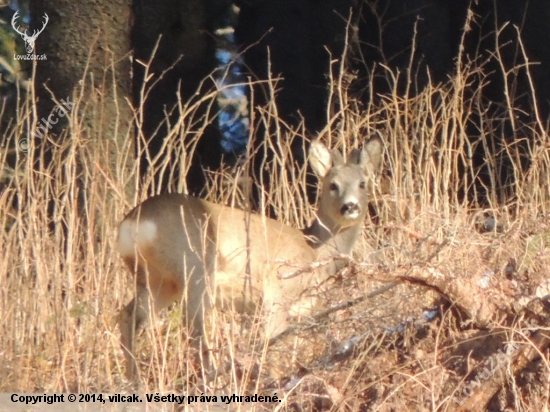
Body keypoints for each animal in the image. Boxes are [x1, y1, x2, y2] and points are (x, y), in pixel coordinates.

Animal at [116, 137, 384, 378]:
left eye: (362, 183)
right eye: (333, 185)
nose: (350, 207)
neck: (315, 249)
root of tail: (135, 223)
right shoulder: (277, 287)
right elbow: (273, 340)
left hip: (158, 281)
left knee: (128, 316)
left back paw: (134, 381)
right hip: (195, 268)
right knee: (193, 329)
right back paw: (211, 378)